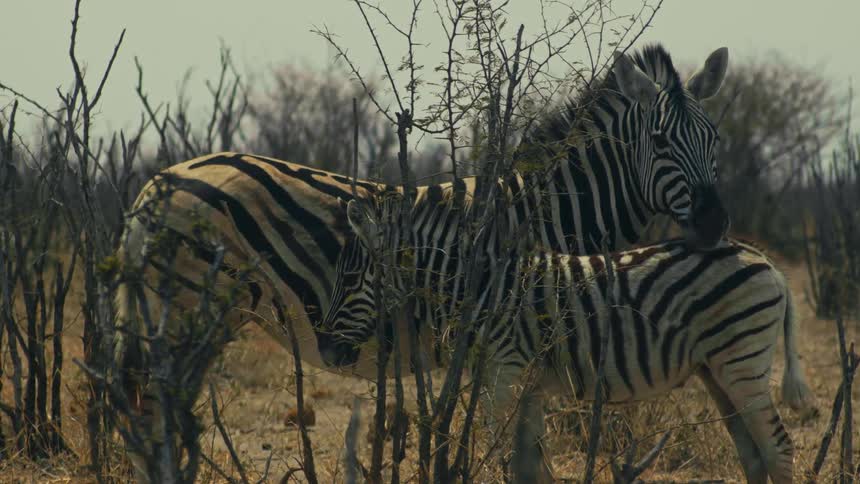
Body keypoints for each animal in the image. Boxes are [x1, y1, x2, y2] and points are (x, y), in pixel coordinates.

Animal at [325, 197, 812, 484]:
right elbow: (532, 463)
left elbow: (505, 452)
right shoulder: (529, 382)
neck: (480, 285)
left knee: (778, 448)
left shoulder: (505, 370)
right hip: (716, 369)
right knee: (754, 453)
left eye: (348, 280)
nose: (329, 352)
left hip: (742, 360)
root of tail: (763, 259)